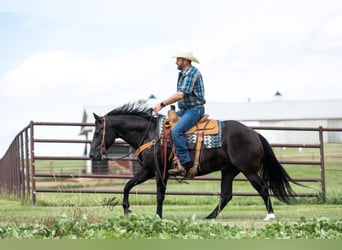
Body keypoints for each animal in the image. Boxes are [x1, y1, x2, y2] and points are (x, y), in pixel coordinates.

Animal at [89, 103, 298, 221]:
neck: (152, 135)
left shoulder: (160, 171)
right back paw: (209, 217)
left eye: (98, 132)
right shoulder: (148, 170)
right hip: (229, 171)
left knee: (262, 188)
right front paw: (127, 210)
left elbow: (159, 195)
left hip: (249, 170)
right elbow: (127, 185)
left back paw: (269, 215)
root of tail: (254, 133)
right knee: (226, 195)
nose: (92, 155)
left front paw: (157, 217)